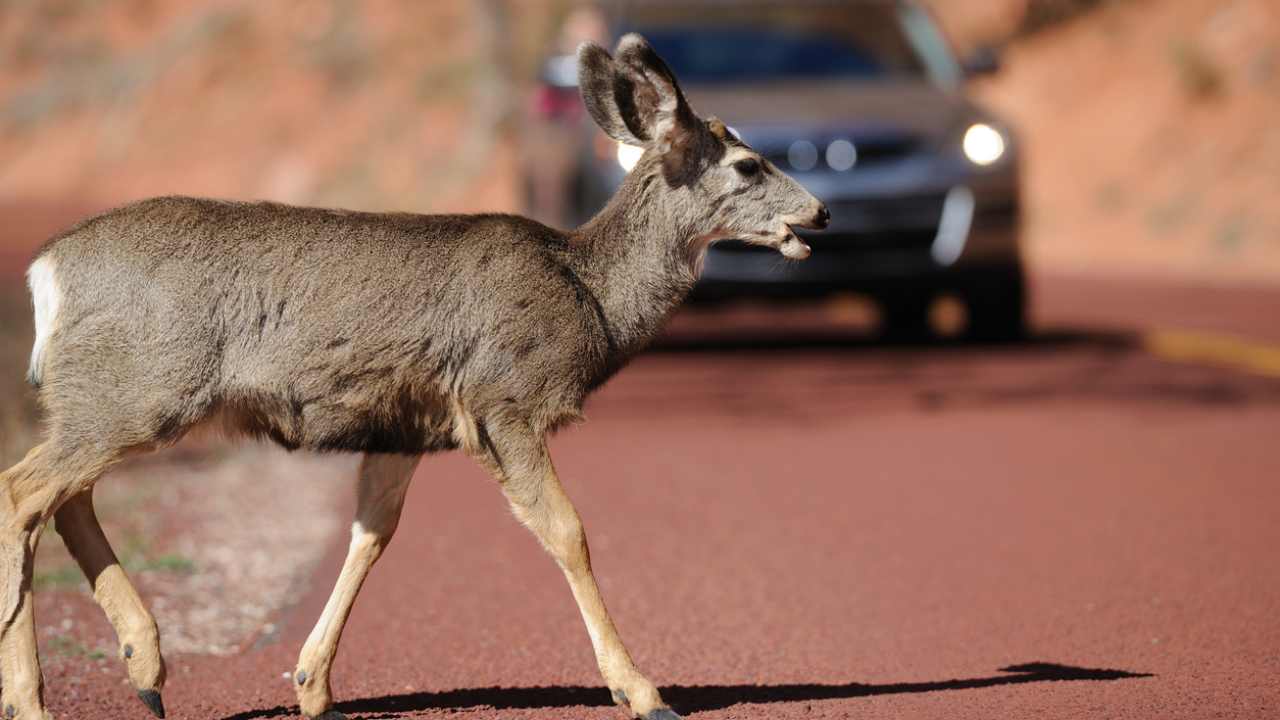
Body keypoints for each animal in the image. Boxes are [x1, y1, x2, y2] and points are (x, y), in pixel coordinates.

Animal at [0, 35, 829, 717]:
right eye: (748, 164)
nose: (819, 214)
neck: (589, 292)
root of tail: (46, 271)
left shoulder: (404, 426)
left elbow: (372, 534)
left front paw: (313, 687)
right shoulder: (503, 399)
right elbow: (568, 532)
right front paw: (643, 691)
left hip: (111, 399)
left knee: (65, 499)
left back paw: (145, 665)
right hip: (139, 391)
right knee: (23, 490)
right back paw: (34, 700)